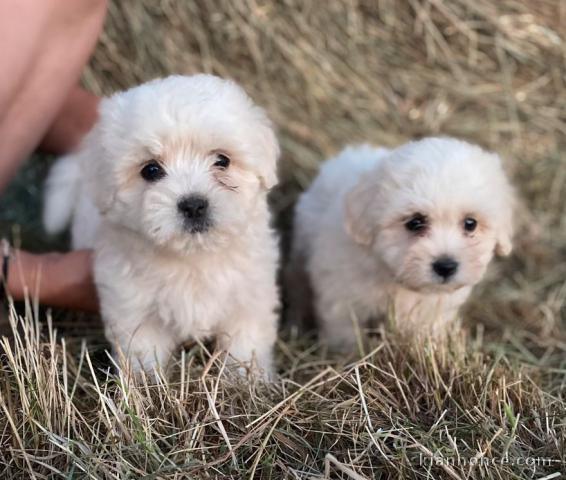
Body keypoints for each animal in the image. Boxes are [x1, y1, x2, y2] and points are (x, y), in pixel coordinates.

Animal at [43, 75, 282, 376]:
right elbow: (143, 354)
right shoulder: (134, 310)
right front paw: (146, 384)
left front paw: (246, 379)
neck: (193, 259)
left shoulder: (249, 299)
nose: (193, 205)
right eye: (151, 170)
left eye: (222, 160)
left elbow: (244, 346)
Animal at [290, 137, 516, 346]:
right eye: (415, 222)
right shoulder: (341, 296)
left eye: (471, 223)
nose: (446, 266)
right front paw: (347, 352)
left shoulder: (435, 310)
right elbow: (345, 329)